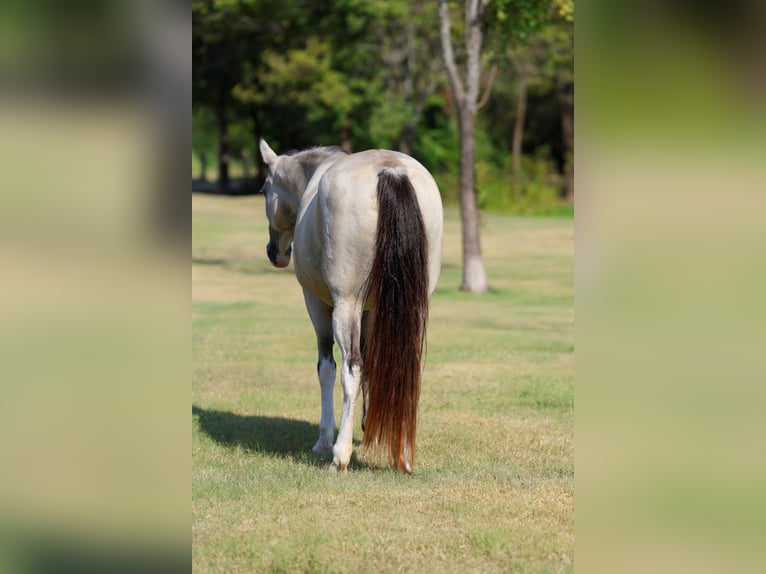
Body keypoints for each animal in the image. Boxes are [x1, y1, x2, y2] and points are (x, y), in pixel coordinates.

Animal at [258, 138, 443, 473]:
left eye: (265, 190)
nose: (274, 252)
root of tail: (391, 171)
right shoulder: (372, 310)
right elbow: (375, 364)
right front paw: (373, 430)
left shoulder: (318, 305)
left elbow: (327, 369)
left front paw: (324, 439)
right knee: (403, 367)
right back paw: (403, 453)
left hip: (344, 306)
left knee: (351, 369)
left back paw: (339, 455)